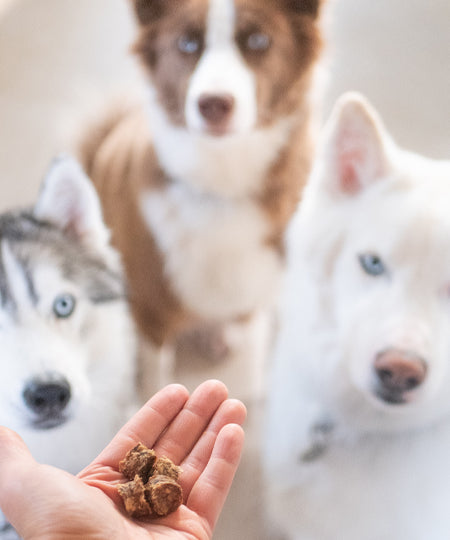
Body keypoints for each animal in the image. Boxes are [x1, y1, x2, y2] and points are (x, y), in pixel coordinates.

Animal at [75, 0, 326, 396]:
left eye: (258, 40)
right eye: (187, 44)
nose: (214, 104)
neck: (220, 184)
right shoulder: (150, 307)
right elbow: (154, 373)